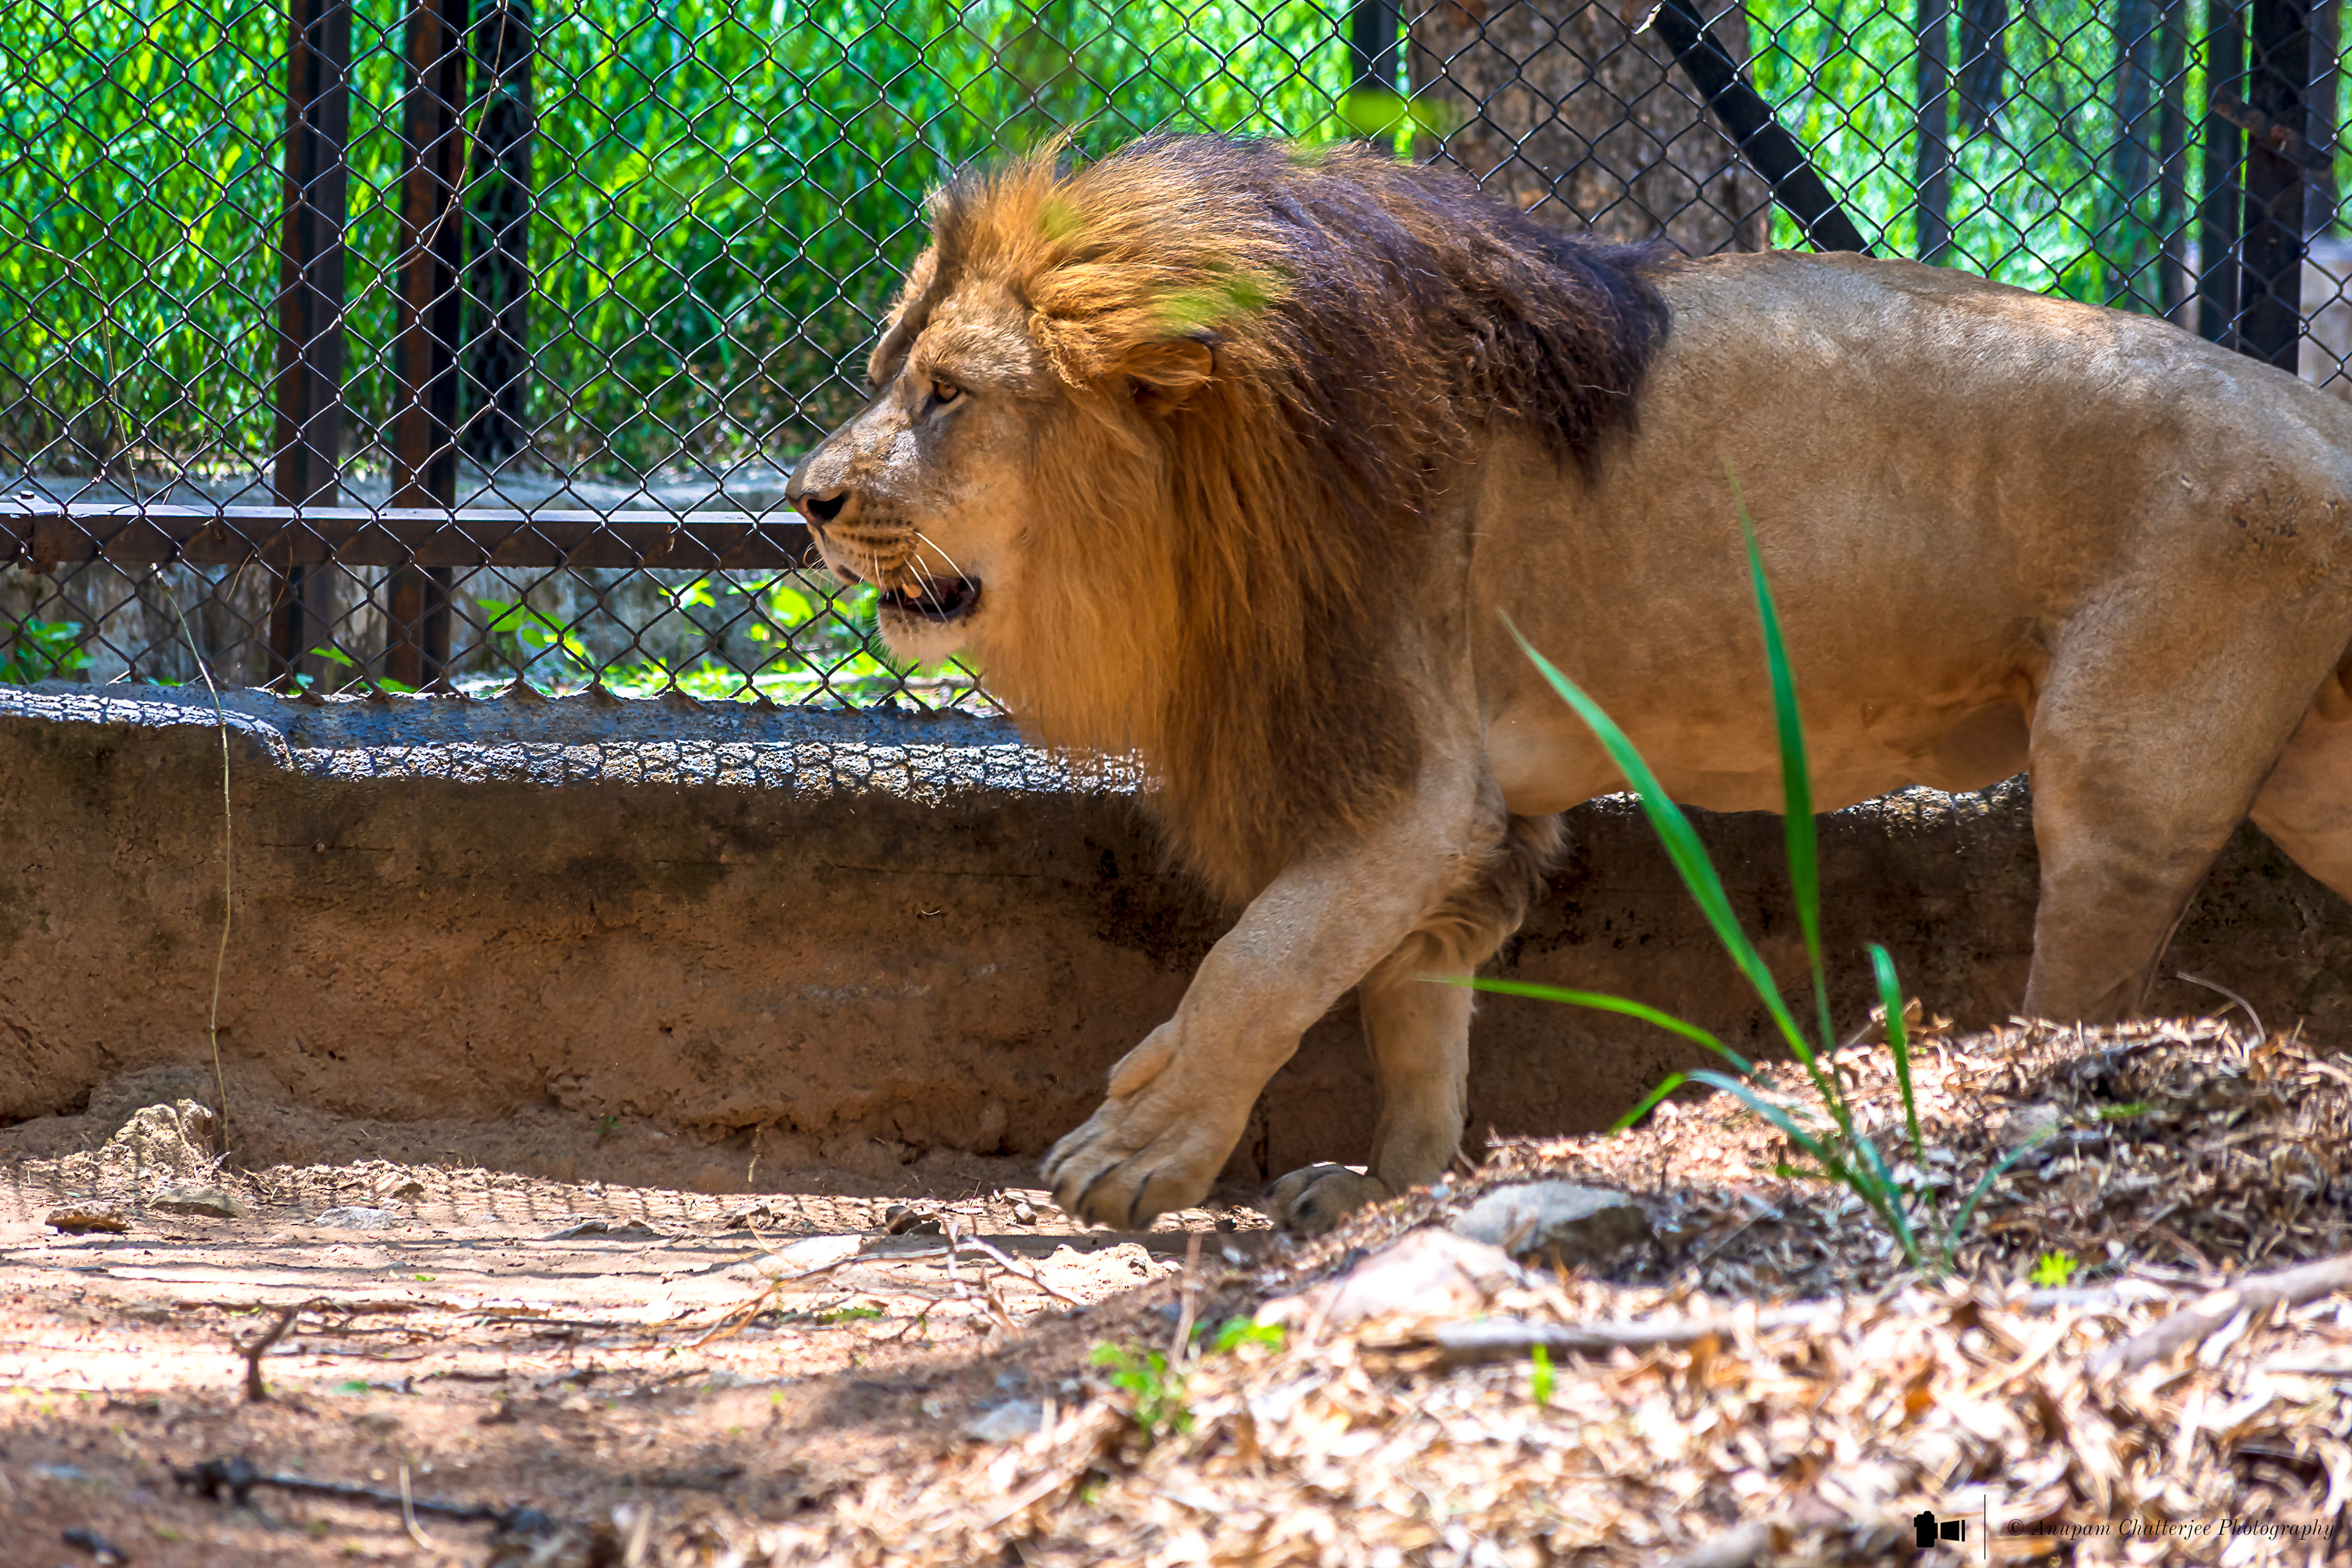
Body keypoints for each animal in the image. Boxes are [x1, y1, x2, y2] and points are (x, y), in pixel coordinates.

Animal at [787, 134, 2352, 1234]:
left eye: (945, 396)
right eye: (884, 370)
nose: (805, 498)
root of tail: (2322, 416)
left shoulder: (1409, 778)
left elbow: (1259, 962)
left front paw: (1138, 1147)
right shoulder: (1452, 810)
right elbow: (1407, 1003)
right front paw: (1394, 1183)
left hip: (2122, 773)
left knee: (2088, 990)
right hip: (2308, 772)